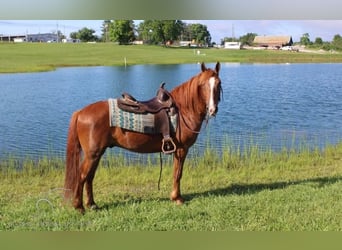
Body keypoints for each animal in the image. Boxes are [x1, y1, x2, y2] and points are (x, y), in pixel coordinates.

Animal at [65, 61, 222, 212]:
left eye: (218, 84)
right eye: (202, 85)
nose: (213, 109)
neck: (183, 111)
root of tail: (81, 112)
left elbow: (176, 173)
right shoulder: (181, 150)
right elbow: (178, 174)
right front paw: (177, 198)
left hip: (97, 154)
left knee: (89, 177)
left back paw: (92, 204)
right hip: (92, 154)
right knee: (82, 176)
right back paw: (79, 207)